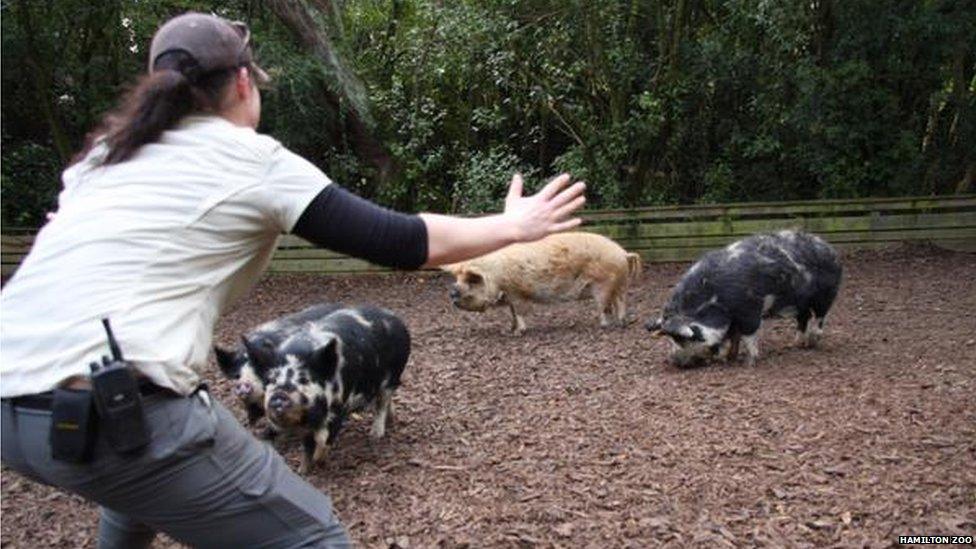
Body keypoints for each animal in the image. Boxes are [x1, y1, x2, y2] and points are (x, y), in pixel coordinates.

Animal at [252, 304, 412, 470]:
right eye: (271, 380)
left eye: (304, 379)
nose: (279, 396)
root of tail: (393, 316)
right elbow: (306, 445)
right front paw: (303, 470)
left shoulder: (340, 406)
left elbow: (324, 439)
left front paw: (319, 461)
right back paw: (390, 421)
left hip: (393, 375)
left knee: (382, 402)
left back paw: (375, 435)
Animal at [648, 229, 840, 366]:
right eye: (672, 338)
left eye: (686, 337)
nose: (675, 361)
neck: (716, 300)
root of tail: (829, 248)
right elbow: (733, 336)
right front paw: (729, 358)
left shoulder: (750, 309)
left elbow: (748, 335)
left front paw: (750, 362)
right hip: (800, 303)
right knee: (804, 317)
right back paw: (795, 345)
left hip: (826, 294)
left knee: (820, 317)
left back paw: (813, 343)